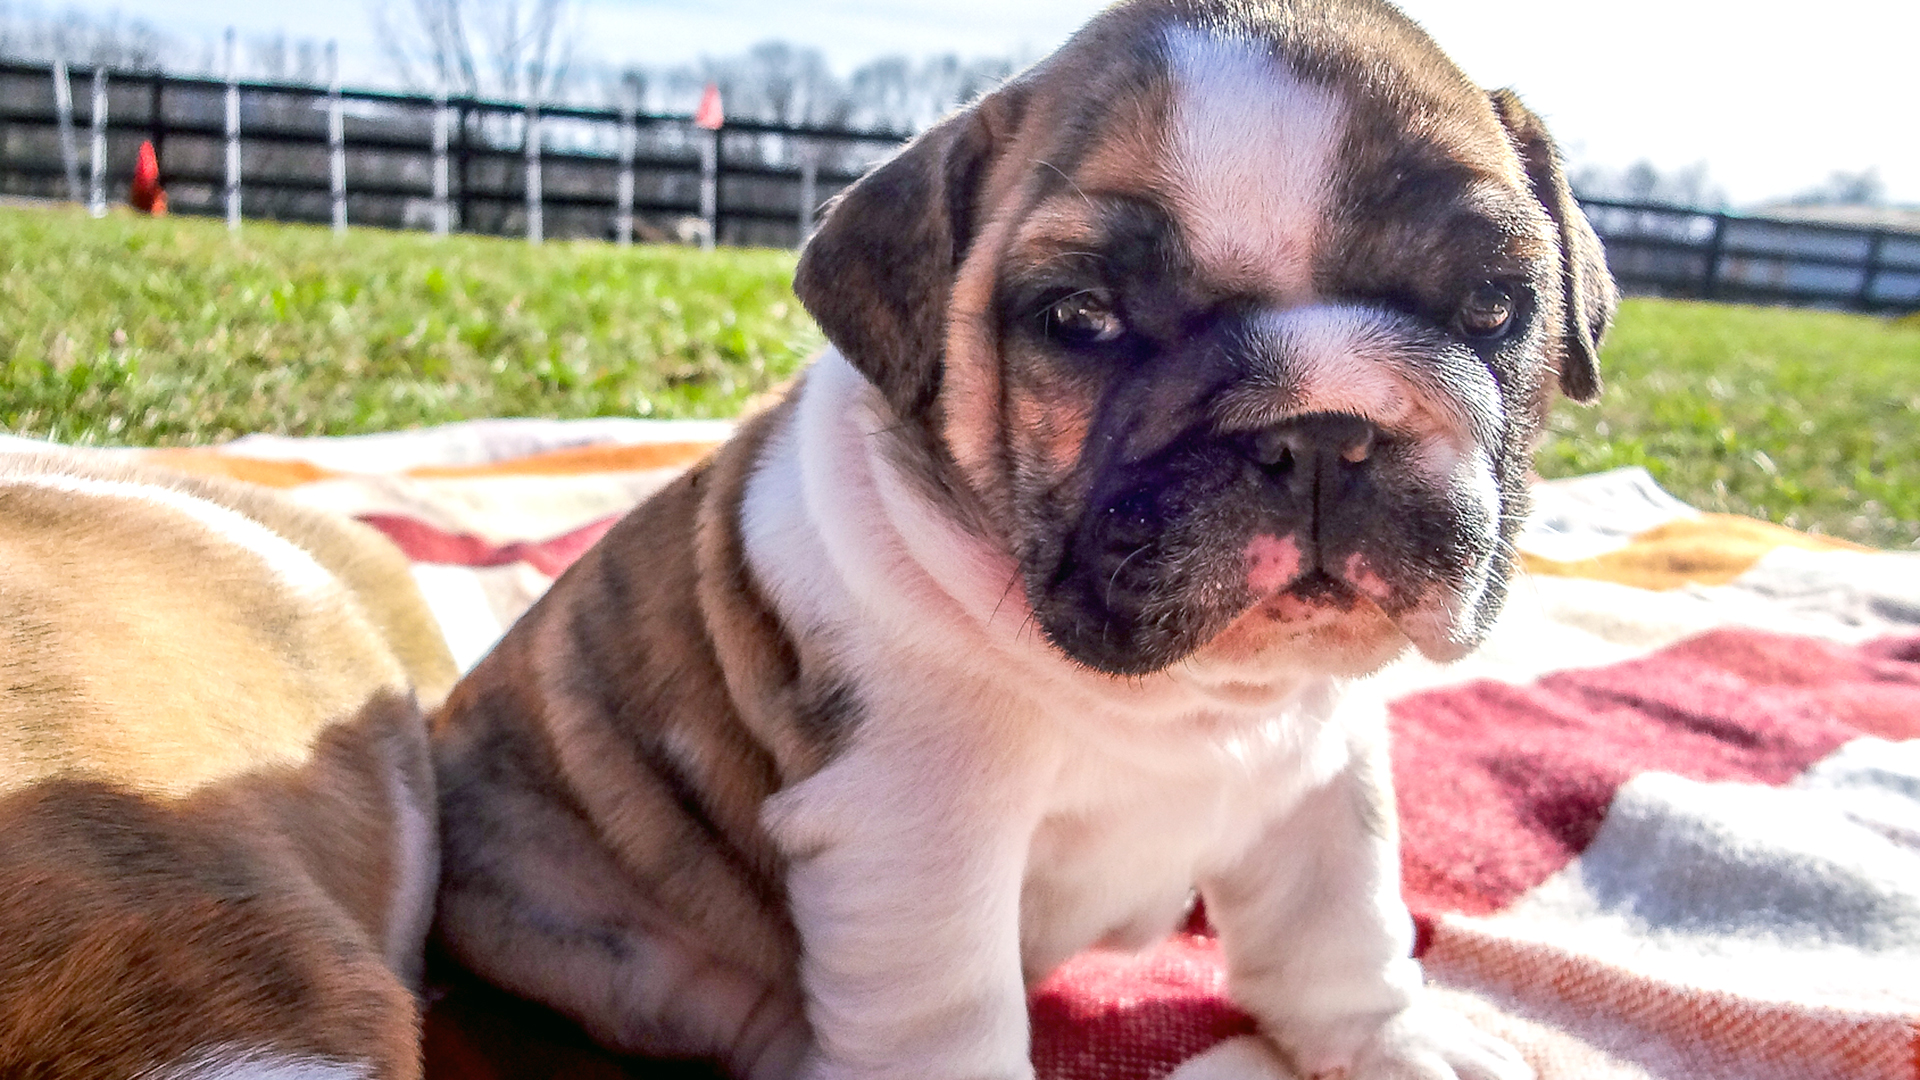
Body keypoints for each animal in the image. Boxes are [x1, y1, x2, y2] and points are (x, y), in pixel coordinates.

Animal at [430, 1, 1616, 1077]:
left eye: (1492, 307)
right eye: (1079, 319)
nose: (1322, 431)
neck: (1192, 698)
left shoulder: (1322, 771)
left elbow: (1344, 924)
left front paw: (1395, 1044)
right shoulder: (911, 834)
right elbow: (943, 1020)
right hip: (601, 931)